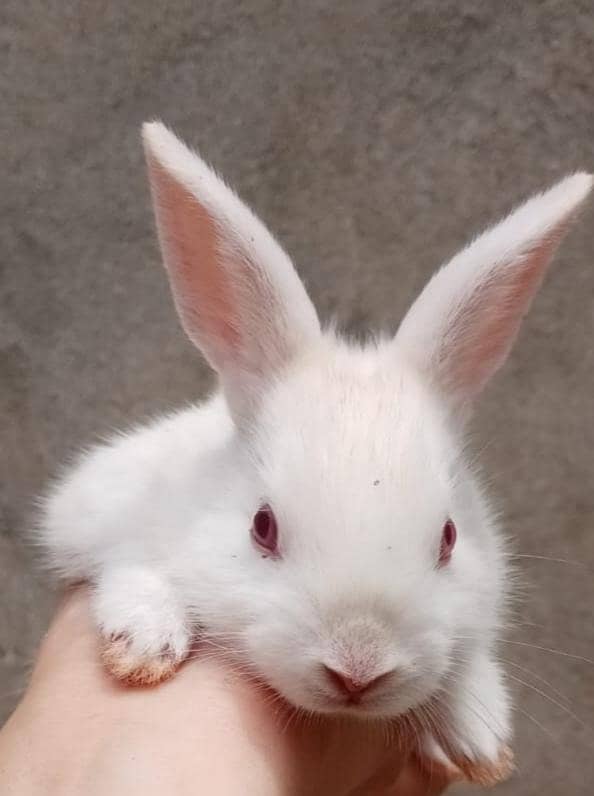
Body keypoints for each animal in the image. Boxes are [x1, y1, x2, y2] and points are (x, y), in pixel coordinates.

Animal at [38, 121, 592, 787]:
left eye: (450, 537)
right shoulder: (103, 515)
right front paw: (145, 642)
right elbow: (131, 567)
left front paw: (478, 734)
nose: (358, 667)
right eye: (262, 526)